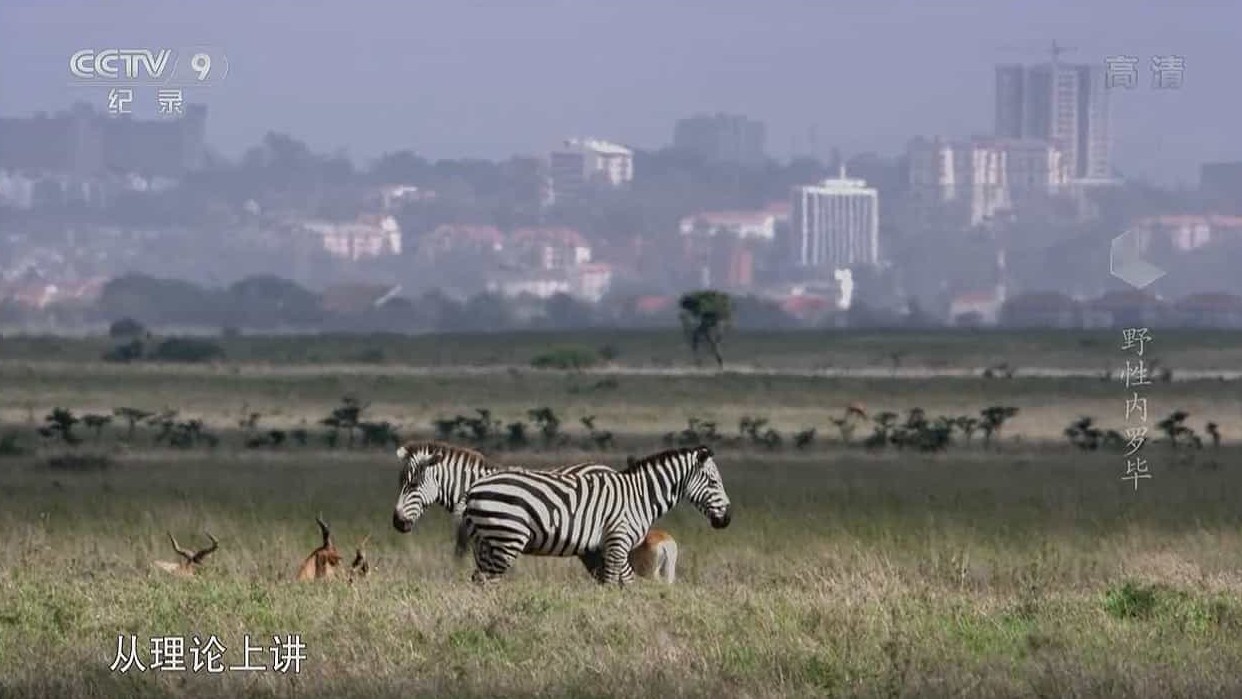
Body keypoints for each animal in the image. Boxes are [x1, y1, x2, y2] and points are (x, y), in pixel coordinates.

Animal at [457, 446, 725, 588]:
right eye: (714, 482)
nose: (727, 519)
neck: (639, 495)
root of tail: (474, 489)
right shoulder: (618, 540)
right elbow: (613, 581)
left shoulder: (607, 548)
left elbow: (624, 581)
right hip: (506, 539)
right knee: (487, 579)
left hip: (485, 541)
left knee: (479, 578)